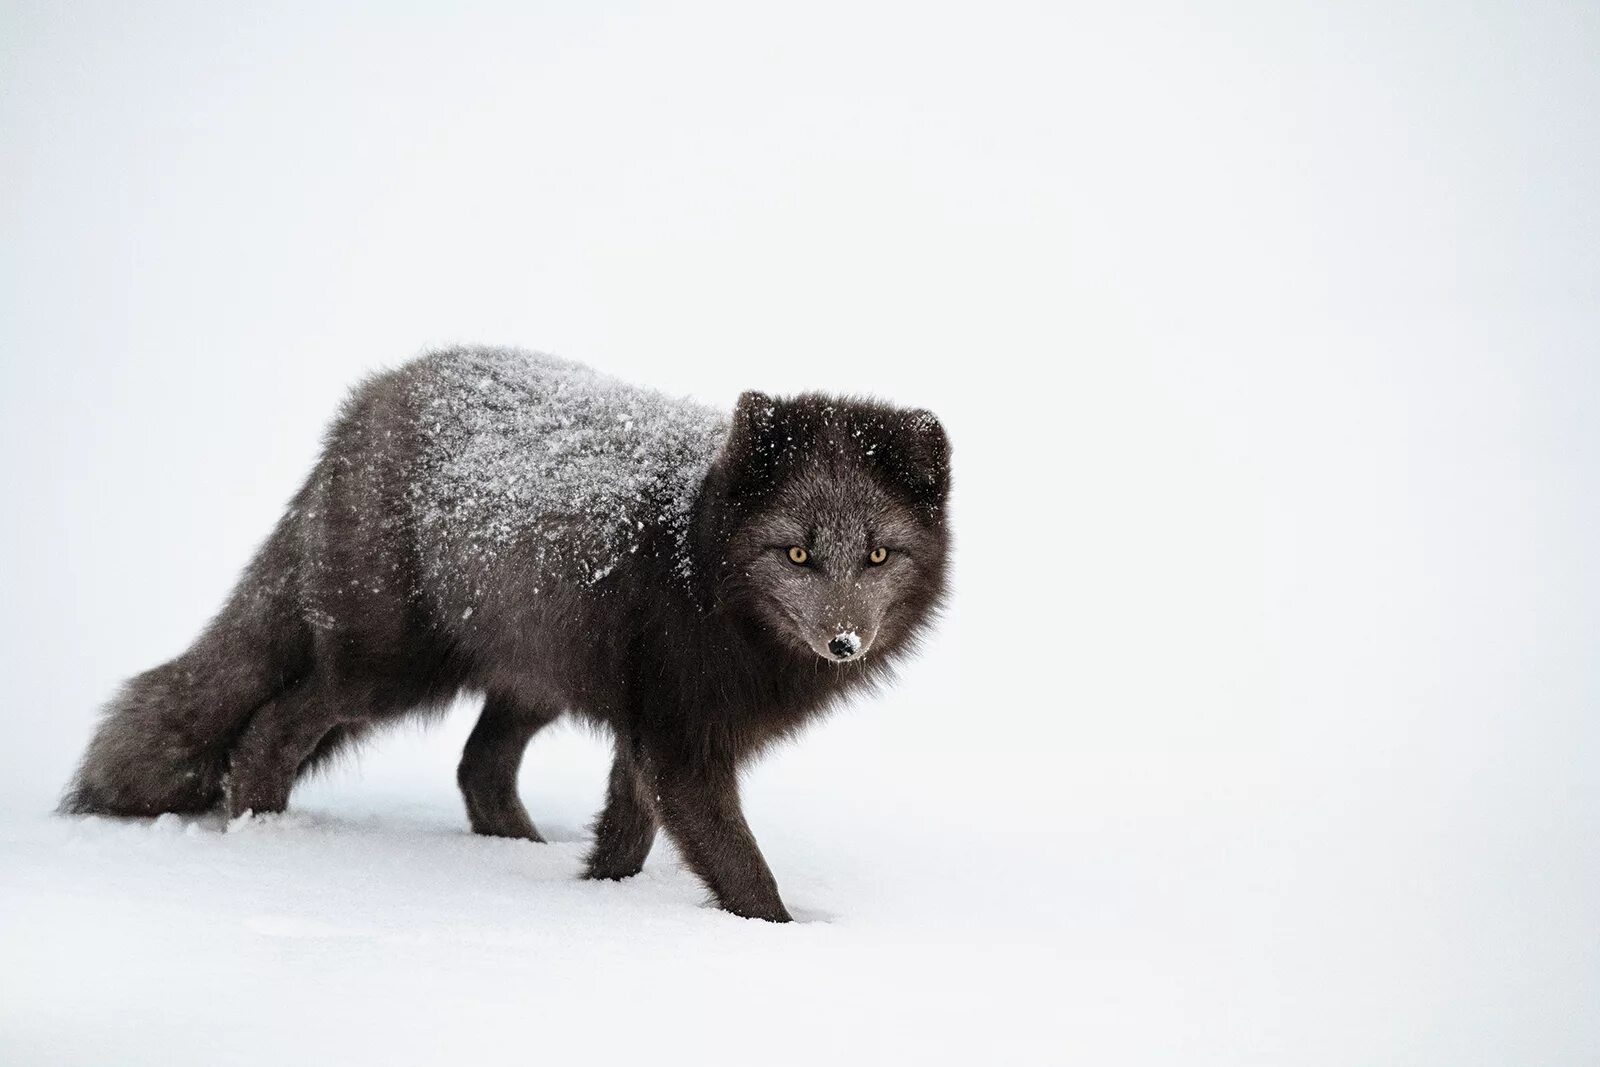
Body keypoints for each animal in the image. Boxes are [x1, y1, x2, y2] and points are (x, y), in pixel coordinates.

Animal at [65, 347, 947, 921]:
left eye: (877, 554)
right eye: (796, 552)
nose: (844, 642)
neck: (696, 557)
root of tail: (368, 402)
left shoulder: (645, 727)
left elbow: (626, 833)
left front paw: (599, 896)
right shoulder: (677, 739)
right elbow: (740, 867)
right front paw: (778, 936)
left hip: (533, 673)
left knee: (478, 765)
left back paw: (517, 857)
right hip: (387, 670)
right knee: (274, 725)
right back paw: (266, 835)